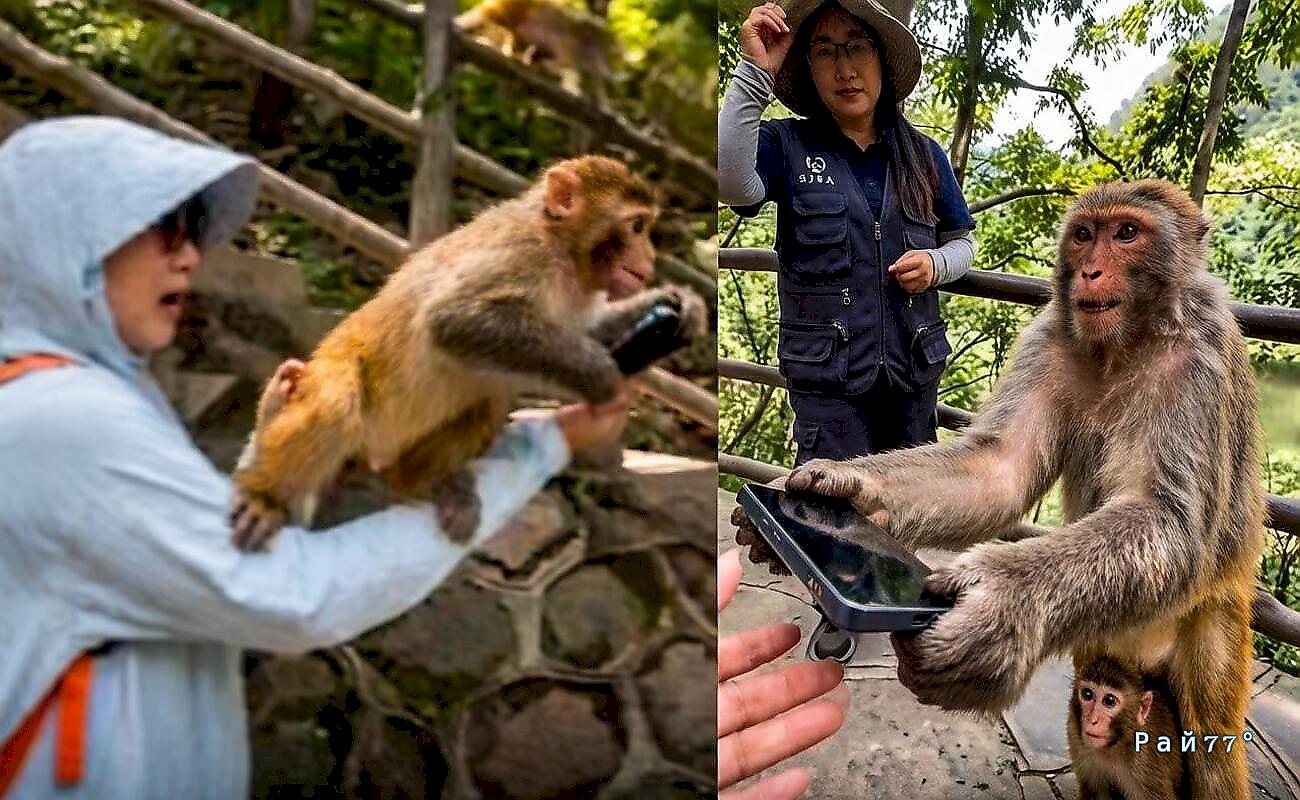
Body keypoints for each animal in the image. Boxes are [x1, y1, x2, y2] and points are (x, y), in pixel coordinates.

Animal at [229, 155, 704, 551]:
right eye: (637, 227)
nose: (649, 255)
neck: (564, 252)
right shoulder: (522, 251)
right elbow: (454, 318)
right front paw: (602, 374)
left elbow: (589, 330)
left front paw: (676, 308)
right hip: (332, 373)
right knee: (336, 401)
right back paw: (265, 490)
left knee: (485, 403)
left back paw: (429, 485)